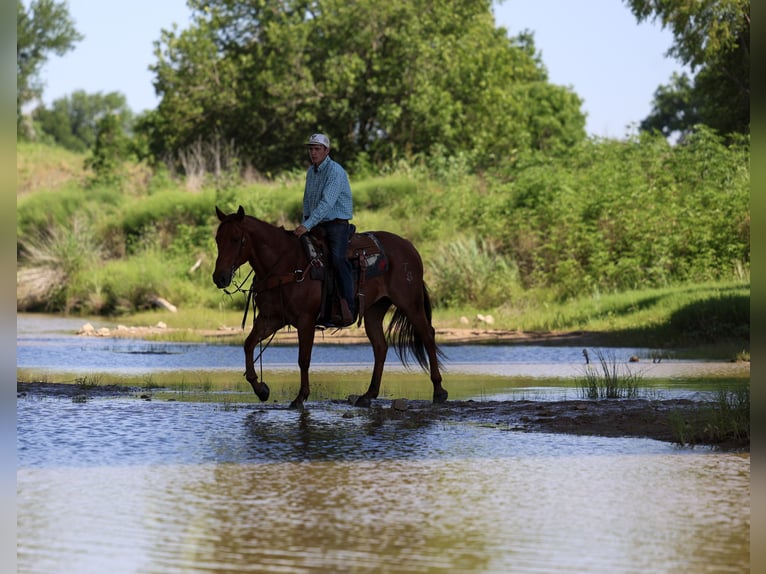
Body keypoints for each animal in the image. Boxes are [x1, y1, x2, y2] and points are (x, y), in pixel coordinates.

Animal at [212, 205, 448, 409]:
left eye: (236, 239)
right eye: (217, 239)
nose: (219, 278)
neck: (285, 264)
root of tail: (409, 247)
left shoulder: (305, 320)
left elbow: (303, 359)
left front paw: (300, 397)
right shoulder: (271, 318)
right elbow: (248, 344)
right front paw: (261, 389)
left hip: (410, 303)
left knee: (427, 335)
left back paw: (439, 391)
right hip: (374, 310)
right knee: (380, 346)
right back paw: (368, 395)